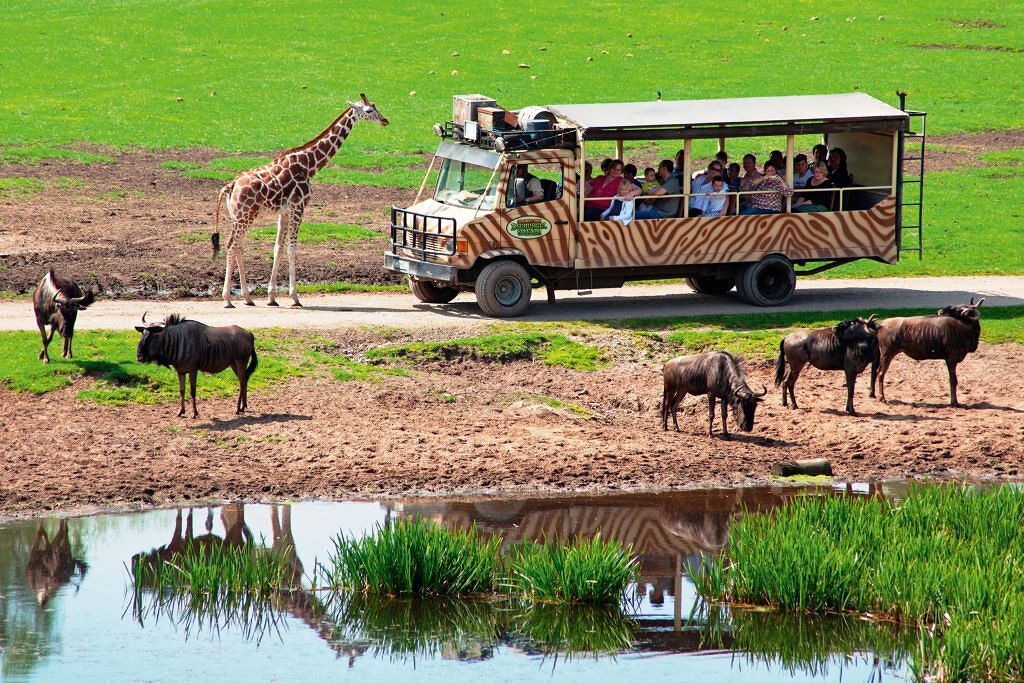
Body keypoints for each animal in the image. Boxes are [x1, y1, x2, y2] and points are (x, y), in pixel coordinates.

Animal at [214, 94, 389, 309]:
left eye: (375, 106)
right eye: (369, 110)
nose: (385, 120)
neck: (309, 166)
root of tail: (230, 186)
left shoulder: (284, 211)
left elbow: (278, 249)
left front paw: (272, 297)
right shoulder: (299, 207)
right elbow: (292, 249)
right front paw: (295, 297)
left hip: (241, 216)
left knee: (239, 246)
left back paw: (248, 297)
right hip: (245, 216)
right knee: (231, 245)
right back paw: (227, 299)